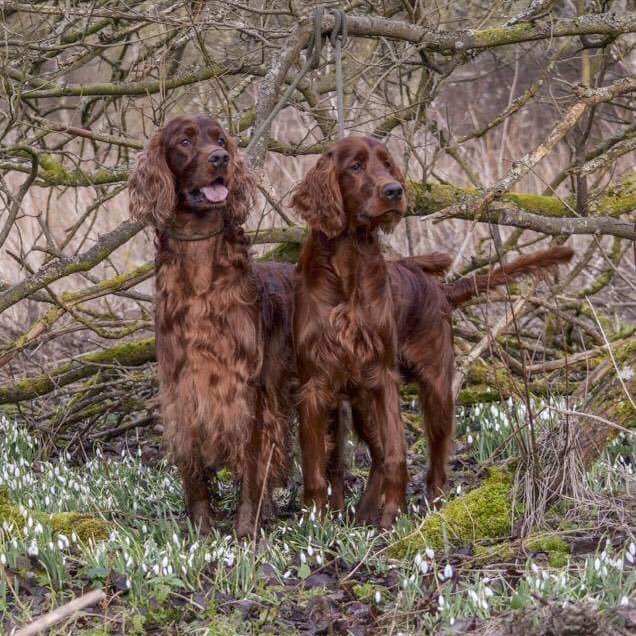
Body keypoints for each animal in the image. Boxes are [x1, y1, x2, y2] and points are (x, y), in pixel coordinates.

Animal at [130, 115, 298, 536]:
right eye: (185, 141)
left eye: (220, 140)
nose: (220, 158)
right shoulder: (182, 390)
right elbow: (193, 471)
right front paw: (201, 527)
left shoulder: (246, 389)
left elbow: (252, 464)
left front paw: (246, 529)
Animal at [290, 137, 572, 528]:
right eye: (355, 166)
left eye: (388, 164)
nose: (394, 190)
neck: (348, 267)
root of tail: (441, 290)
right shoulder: (316, 384)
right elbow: (316, 465)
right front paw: (316, 520)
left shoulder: (381, 375)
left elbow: (397, 452)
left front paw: (392, 516)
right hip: (362, 402)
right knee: (377, 455)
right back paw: (364, 514)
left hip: (436, 388)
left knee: (435, 463)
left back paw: (432, 511)